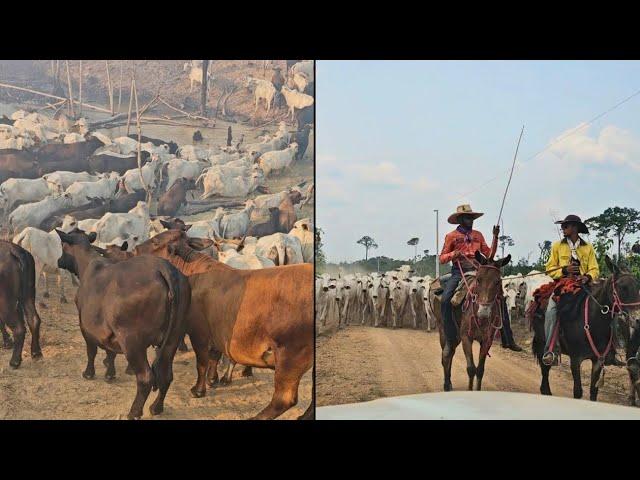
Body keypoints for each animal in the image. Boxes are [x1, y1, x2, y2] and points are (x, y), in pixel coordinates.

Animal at [0, 239, 42, 368]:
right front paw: (7, 342)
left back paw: (15, 361)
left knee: (19, 328)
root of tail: (13, 250)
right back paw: (36, 352)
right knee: (34, 319)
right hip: (28, 295)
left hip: (6, 302)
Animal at [56, 229, 191, 420]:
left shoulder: (85, 327)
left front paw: (89, 373)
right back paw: (156, 407)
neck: (88, 265)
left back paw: (134, 412)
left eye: (62, 245)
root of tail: (163, 268)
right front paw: (110, 374)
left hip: (132, 341)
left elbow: (91, 351)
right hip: (173, 338)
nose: (59, 260)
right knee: (166, 375)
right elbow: (110, 353)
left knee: (146, 377)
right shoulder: (109, 333)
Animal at [134, 230, 314, 420]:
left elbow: (202, 362)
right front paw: (213, 379)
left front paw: (199, 390)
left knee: (284, 399)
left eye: (155, 241)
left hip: (290, 357)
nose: (136, 249)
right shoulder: (217, 332)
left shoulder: (199, 332)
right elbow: (214, 356)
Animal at [430, 251, 510, 390]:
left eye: (497, 281)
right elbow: (471, 368)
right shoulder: (466, 337)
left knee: (450, 352)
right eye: (478, 279)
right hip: (445, 330)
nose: (483, 312)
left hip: (456, 335)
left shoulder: (487, 340)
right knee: (446, 354)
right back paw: (447, 384)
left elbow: (480, 370)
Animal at [528, 256, 640, 404]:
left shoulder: (598, 360)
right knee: (545, 368)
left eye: (638, 287)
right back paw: (546, 391)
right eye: (622, 287)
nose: (637, 318)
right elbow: (578, 391)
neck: (593, 322)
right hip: (542, 342)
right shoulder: (575, 359)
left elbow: (593, 391)